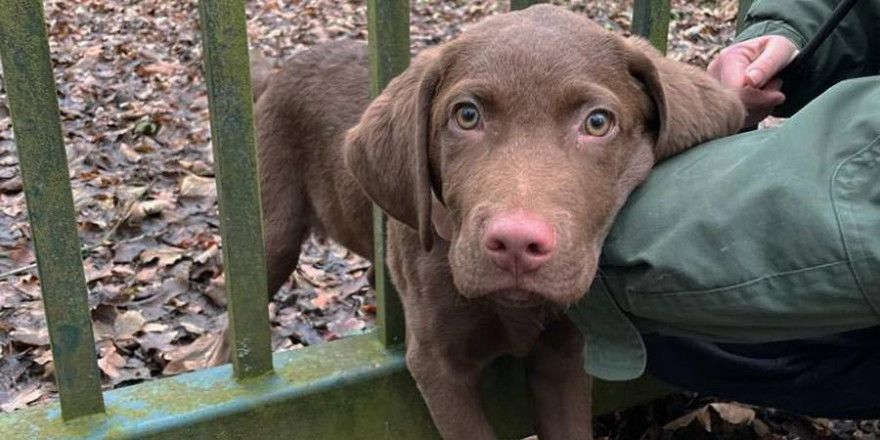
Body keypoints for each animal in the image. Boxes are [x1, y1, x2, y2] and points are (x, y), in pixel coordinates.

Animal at [254, 4, 744, 440]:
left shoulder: (563, 353)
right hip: (274, 235)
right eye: (467, 115)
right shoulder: (437, 364)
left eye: (597, 122)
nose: (515, 243)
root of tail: (277, 73)